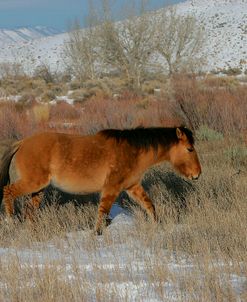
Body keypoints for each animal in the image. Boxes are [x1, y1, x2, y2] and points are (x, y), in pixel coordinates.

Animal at [0, 125, 201, 234]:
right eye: (189, 149)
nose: (197, 174)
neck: (133, 151)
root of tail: (22, 143)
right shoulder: (111, 188)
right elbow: (103, 211)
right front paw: (97, 233)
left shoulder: (133, 186)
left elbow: (149, 205)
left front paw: (157, 225)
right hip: (33, 183)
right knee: (8, 191)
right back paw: (11, 220)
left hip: (38, 189)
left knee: (29, 211)